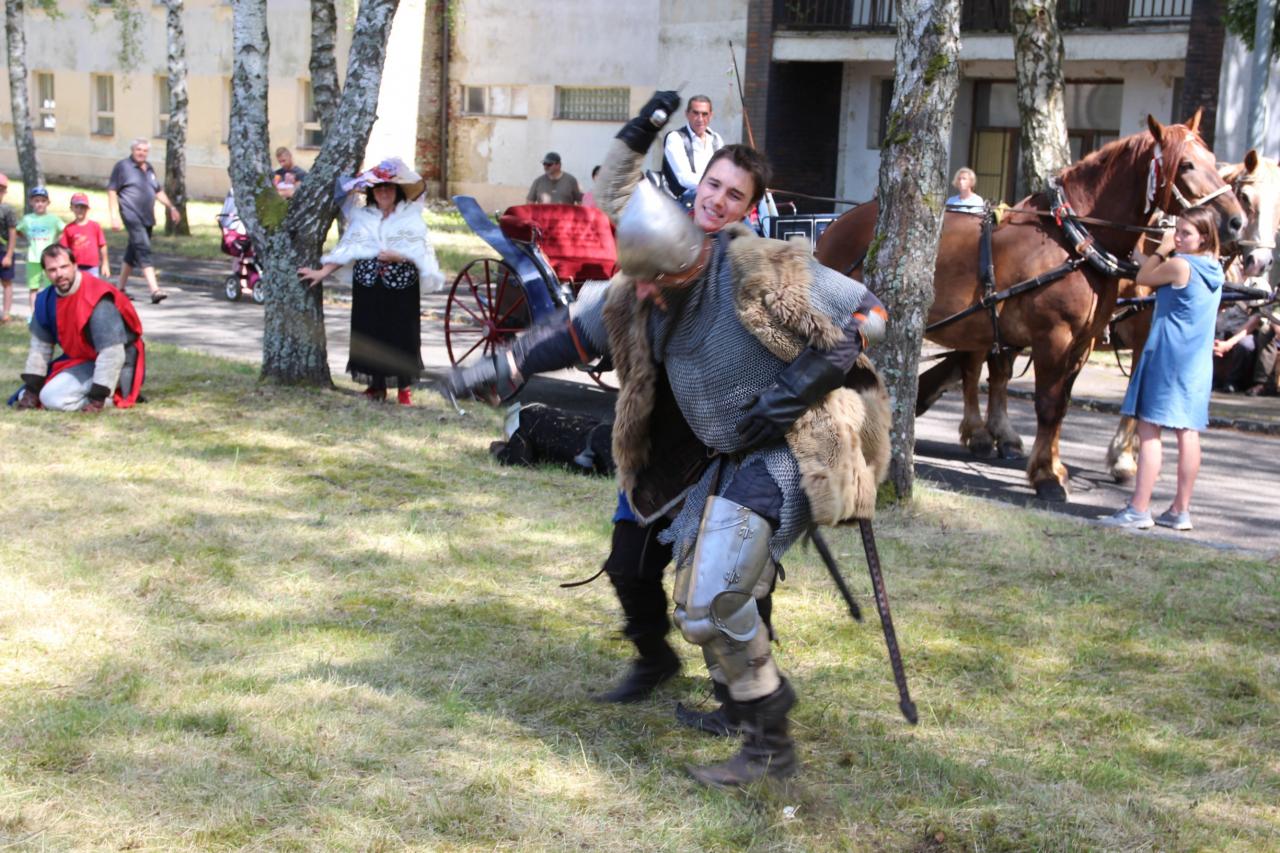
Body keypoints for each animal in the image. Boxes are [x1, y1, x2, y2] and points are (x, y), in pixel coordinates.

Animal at [814, 113, 1245, 501]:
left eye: (1213, 160)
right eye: (1186, 164)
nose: (1236, 223)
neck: (1072, 238)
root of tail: (834, 225)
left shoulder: (1082, 343)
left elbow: (1061, 406)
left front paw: (1053, 466)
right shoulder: (1053, 337)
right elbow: (1048, 405)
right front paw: (1047, 478)